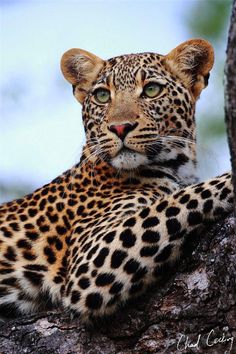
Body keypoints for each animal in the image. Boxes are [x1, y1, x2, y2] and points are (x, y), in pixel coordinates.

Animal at [0, 38, 233, 324]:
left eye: (152, 90)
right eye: (102, 96)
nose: (120, 128)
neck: (179, 167)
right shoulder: (89, 263)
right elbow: (180, 198)